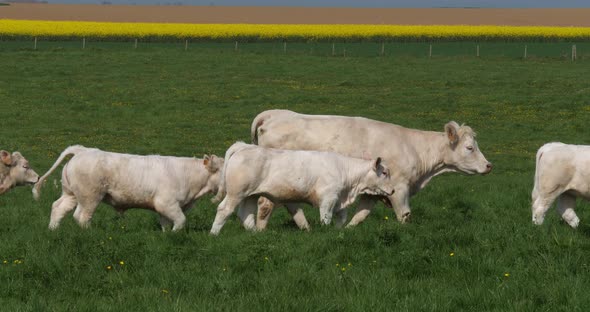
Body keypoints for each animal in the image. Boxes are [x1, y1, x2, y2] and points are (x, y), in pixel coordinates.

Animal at [33, 145, 225, 230]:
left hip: (71, 194)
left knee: (58, 208)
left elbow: (165, 224)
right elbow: (180, 221)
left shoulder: (166, 208)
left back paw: (53, 230)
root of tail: (83, 150)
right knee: (81, 216)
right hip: (90, 196)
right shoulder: (167, 203)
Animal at [210, 141, 396, 234]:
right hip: (236, 193)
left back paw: (255, 233)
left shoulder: (338, 200)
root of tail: (244, 146)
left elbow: (342, 218)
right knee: (224, 209)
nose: (393, 190)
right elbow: (325, 218)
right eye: (384, 172)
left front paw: (338, 230)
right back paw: (214, 233)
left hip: (250, 194)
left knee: (245, 214)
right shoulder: (328, 198)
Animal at [252, 109, 492, 229]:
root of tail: (274, 114)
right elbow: (404, 216)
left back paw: (305, 227)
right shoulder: (399, 189)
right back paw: (261, 231)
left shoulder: (373, 192)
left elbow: (360, 216)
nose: (489, 165)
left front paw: (345, 231)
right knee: (265, 204)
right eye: (470, 147)